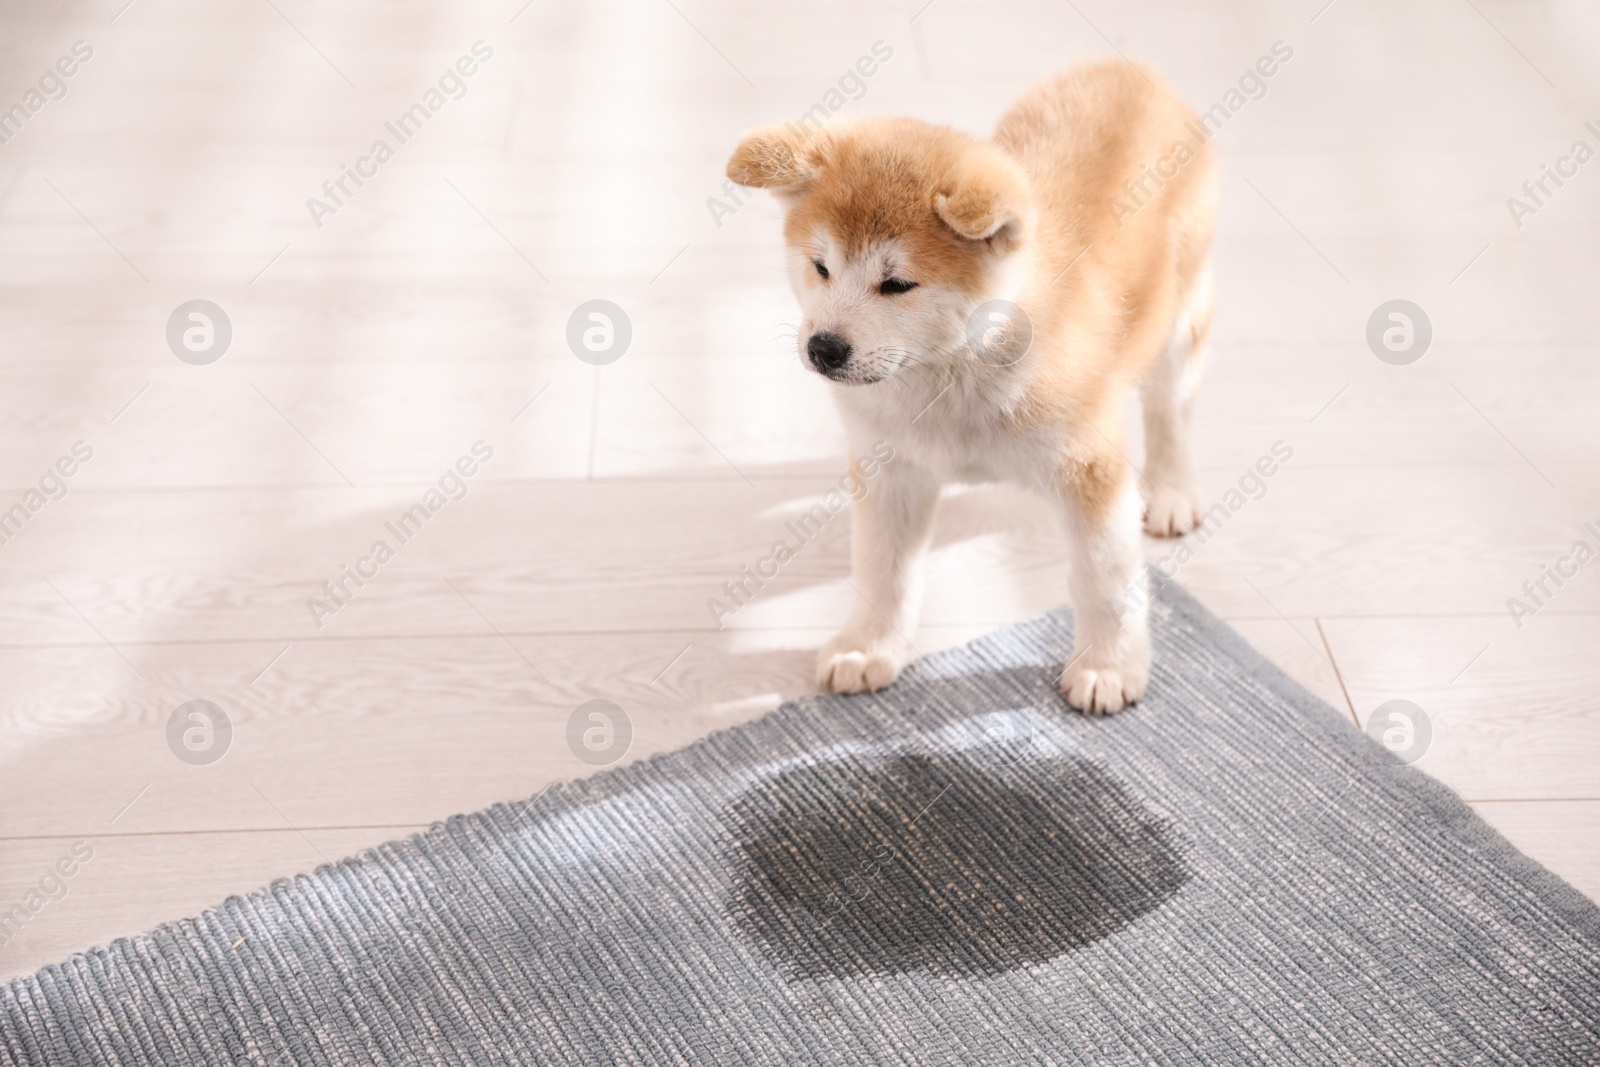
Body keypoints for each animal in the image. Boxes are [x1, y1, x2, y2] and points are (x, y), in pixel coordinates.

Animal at [732, 56, 1216, 710]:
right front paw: (868, 646)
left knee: (1172, 408)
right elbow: (883, 571)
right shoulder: (892, 469)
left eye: (897, 284)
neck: (951, 374)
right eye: (820, 267)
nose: (823, 348)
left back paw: (1171, 490)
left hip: (1179, 319)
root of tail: (1126, 69)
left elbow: (1104, 579)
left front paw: (1108, 666)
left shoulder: (1090, 469)